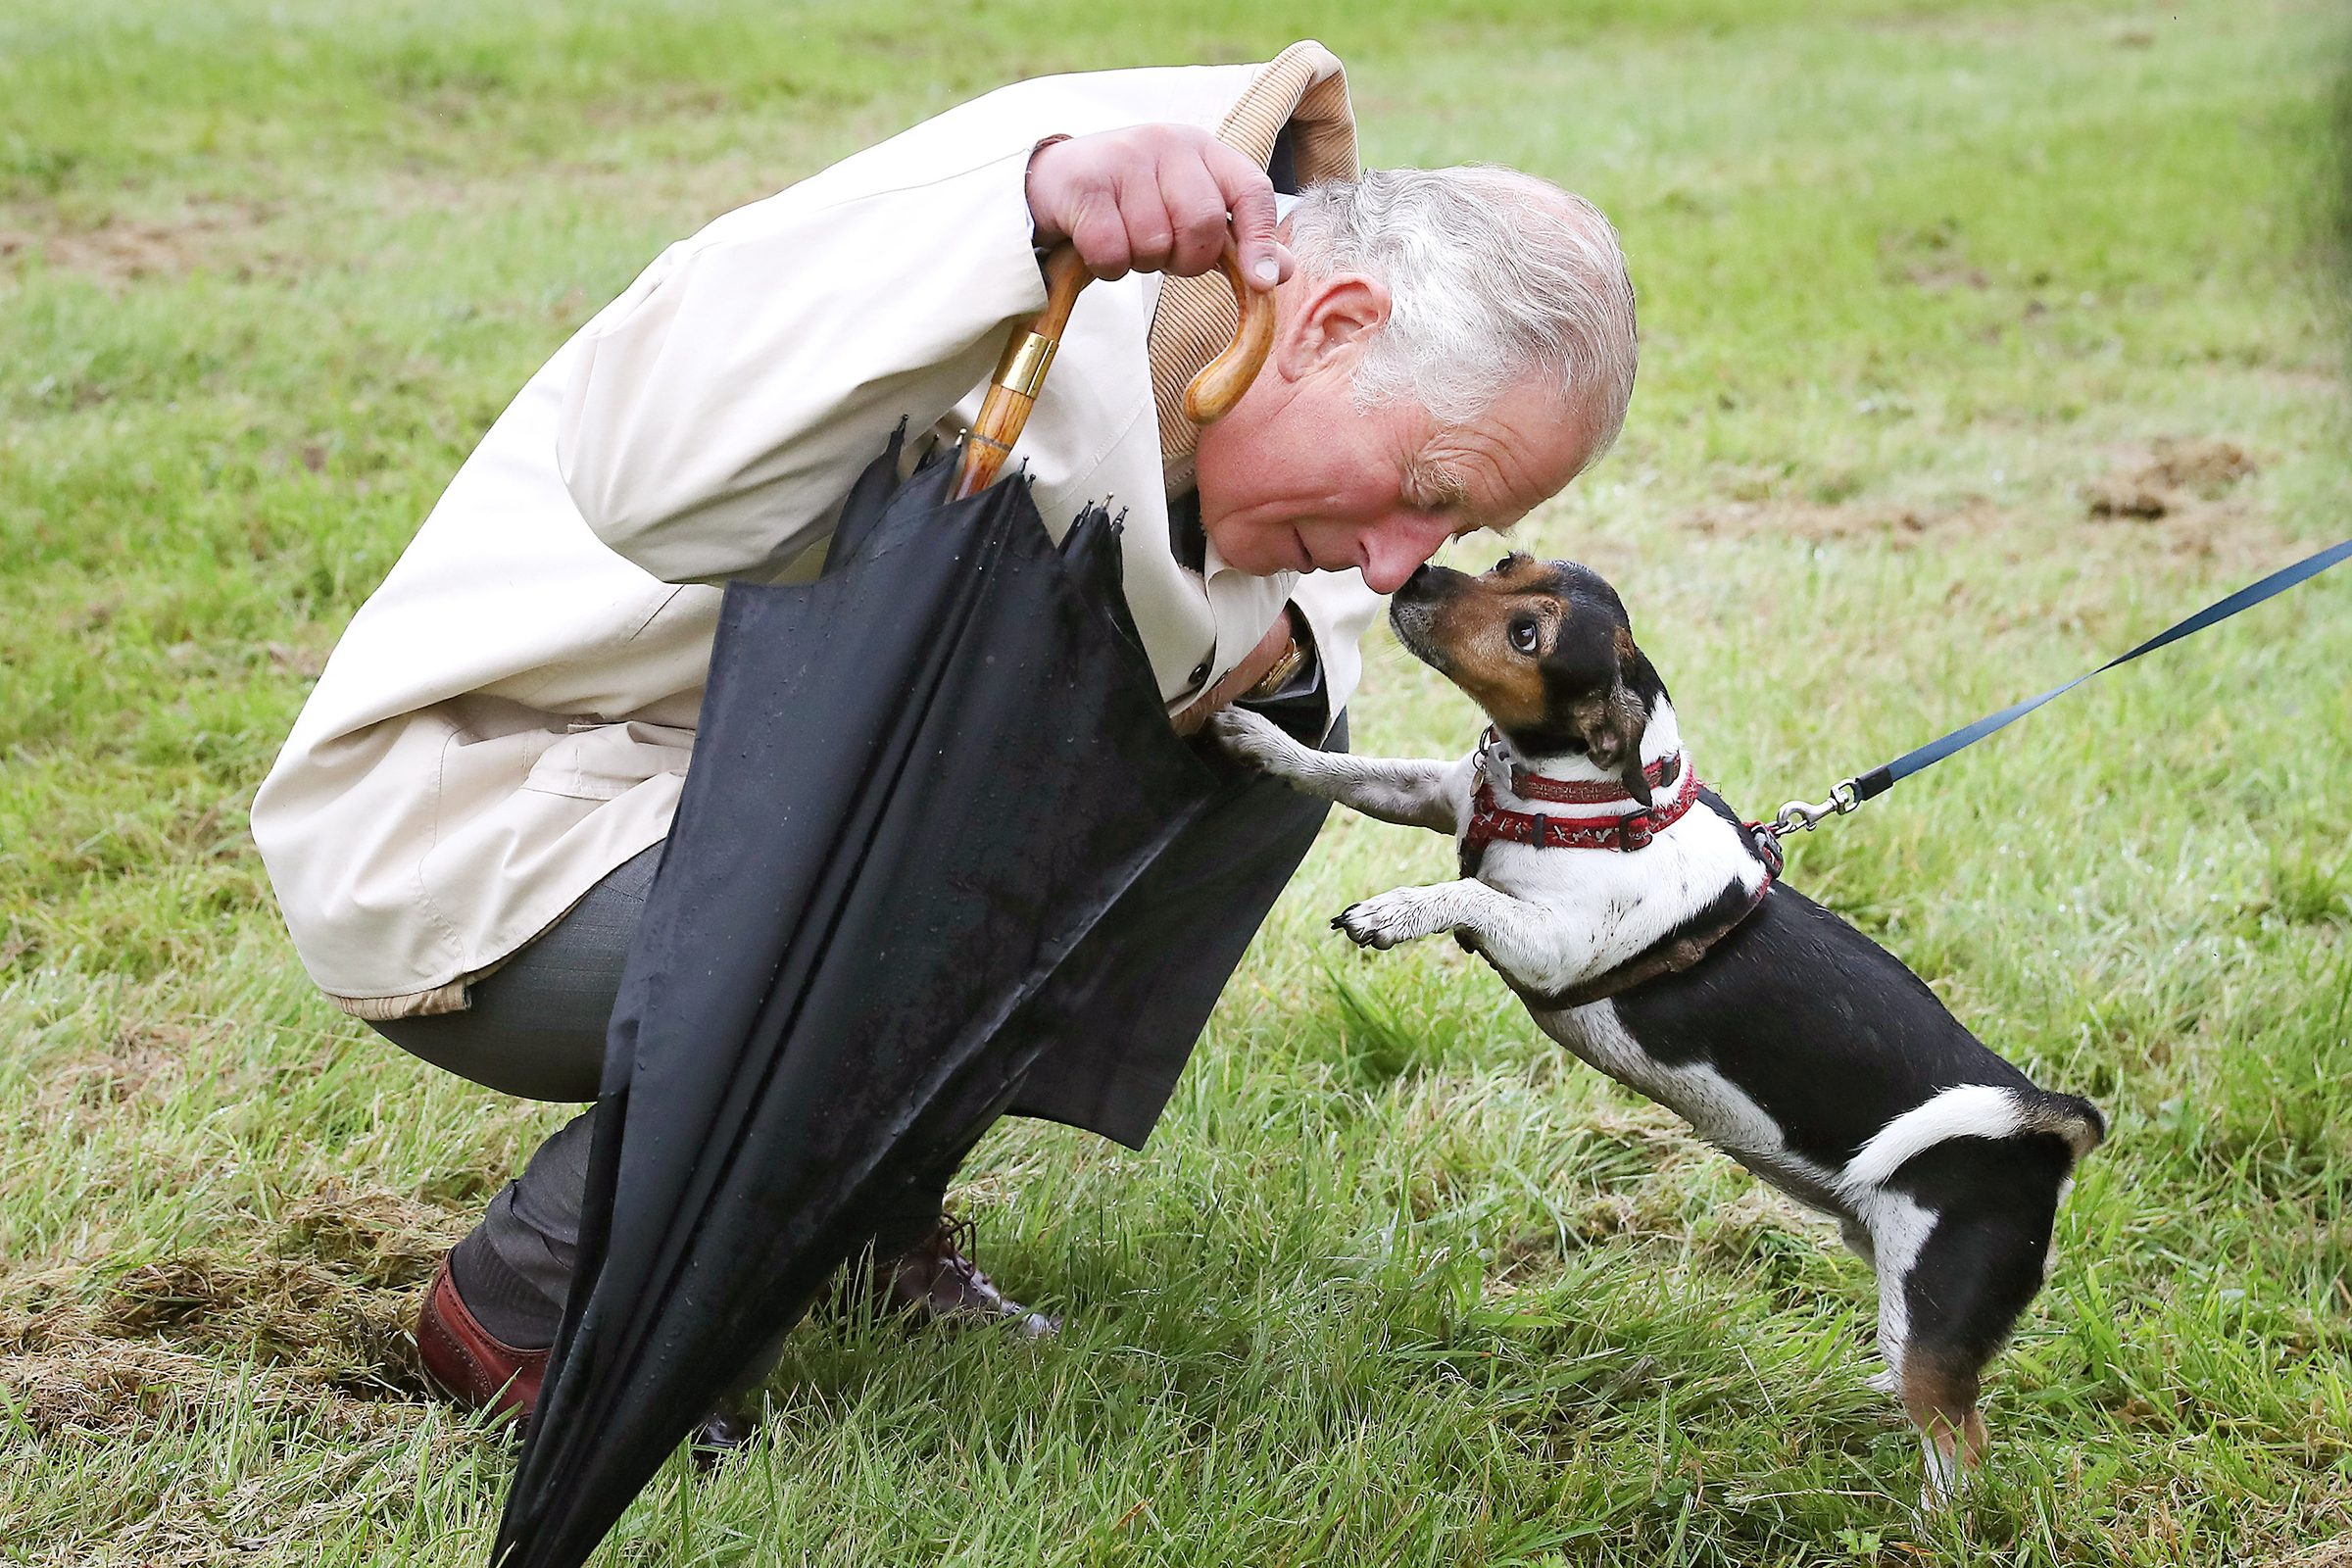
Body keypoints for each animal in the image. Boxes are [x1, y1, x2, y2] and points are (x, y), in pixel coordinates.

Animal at [1223, 557, 2107, 1504]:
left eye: (1526, 635)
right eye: (1507, 565)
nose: (1416, 573)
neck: (1581, 794)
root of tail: (2049, 1125)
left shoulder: (1548, 944)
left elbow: (1466, 894)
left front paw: (1396, 910)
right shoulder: (1430, 793)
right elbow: (1344, 772)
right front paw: (1258, 738)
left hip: (1934, 1314)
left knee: (1961, 1439)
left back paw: (1931, 1519)